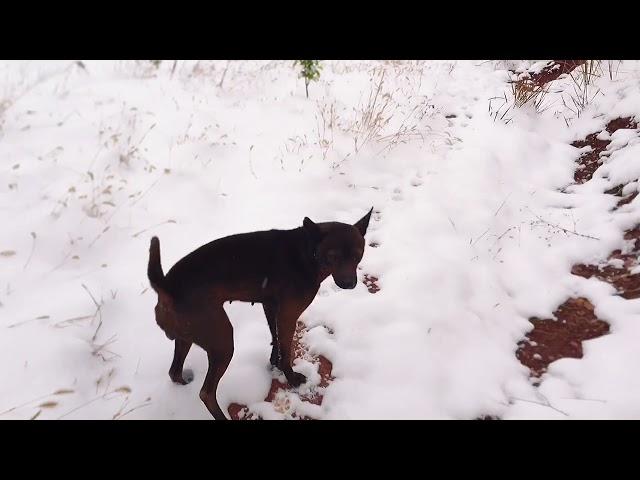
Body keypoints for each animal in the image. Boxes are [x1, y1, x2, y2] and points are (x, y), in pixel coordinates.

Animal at [147, 208, 372, 418]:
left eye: (357, 254)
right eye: (333, 256)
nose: (349, 284)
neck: (308, 251)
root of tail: (167, 288)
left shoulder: (271, 306)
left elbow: (275, 337)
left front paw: (274, 361)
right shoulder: (289, 315)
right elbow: (286, 350)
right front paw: (291, 377)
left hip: (187, 337)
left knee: (174, 372)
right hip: (222, 341)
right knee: (206, 393)